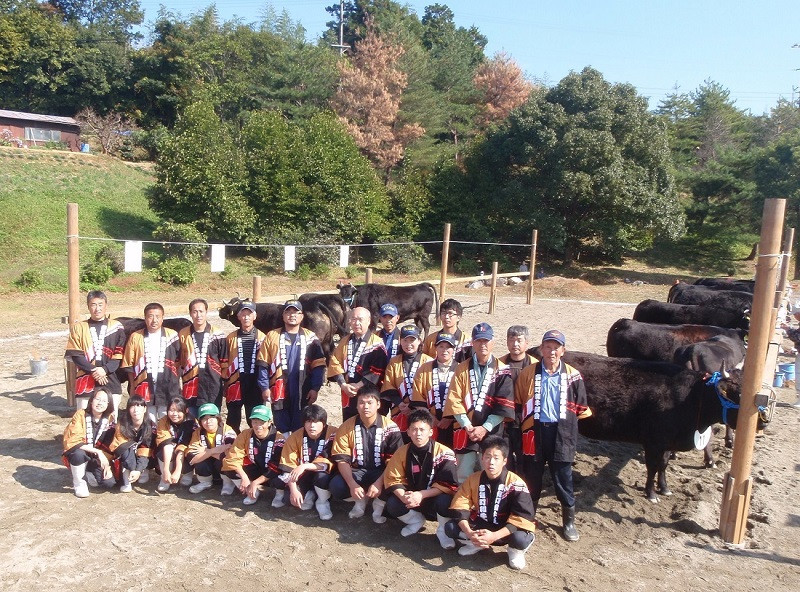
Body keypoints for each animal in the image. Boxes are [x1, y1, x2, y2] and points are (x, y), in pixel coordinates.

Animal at [528, 350, 748, 502]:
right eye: (736, 394)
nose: (756, 420)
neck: (690, 397)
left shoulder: (666, 442)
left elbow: (663, 464)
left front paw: (664, 488)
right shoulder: (653, 442)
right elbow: (652, 466)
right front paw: (651, 493)